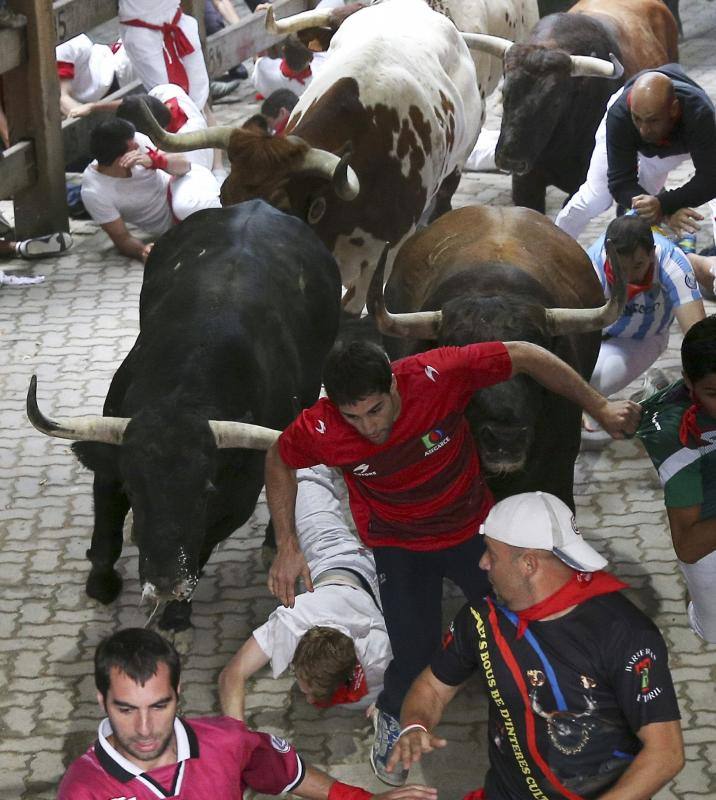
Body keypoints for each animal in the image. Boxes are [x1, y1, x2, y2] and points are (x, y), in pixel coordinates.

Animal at [27, 200, 342, 632]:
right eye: (134, 487)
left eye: (206, 490)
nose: (164, 582)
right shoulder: (109, 466)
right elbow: (106, 534)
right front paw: (101, 584)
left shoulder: (235, 500)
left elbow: (204, 546)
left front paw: (177, 614)